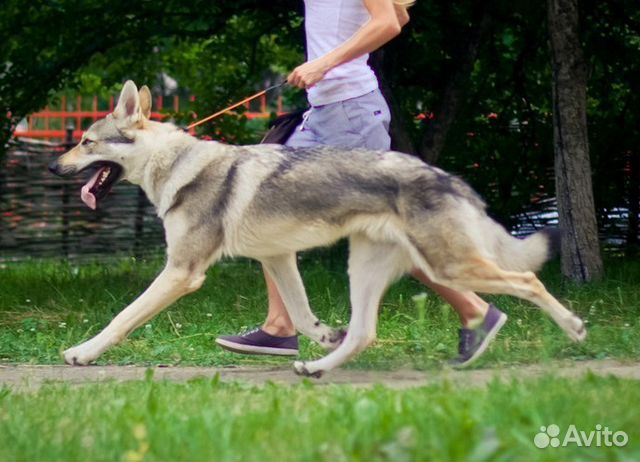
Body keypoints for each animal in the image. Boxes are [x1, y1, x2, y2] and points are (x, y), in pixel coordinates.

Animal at [50, 81, 588, 378]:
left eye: (85, 141)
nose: (54, 167)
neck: (176, 165)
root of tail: (447, 176)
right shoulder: (277, 258)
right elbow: (303, 316)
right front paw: (323, 336)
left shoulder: (182, 271)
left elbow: (121, 318)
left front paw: (81, 353)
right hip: (377, 270)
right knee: (365, 333)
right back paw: (316, 368)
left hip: (448, 264)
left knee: (528, 280)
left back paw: (574, 329)